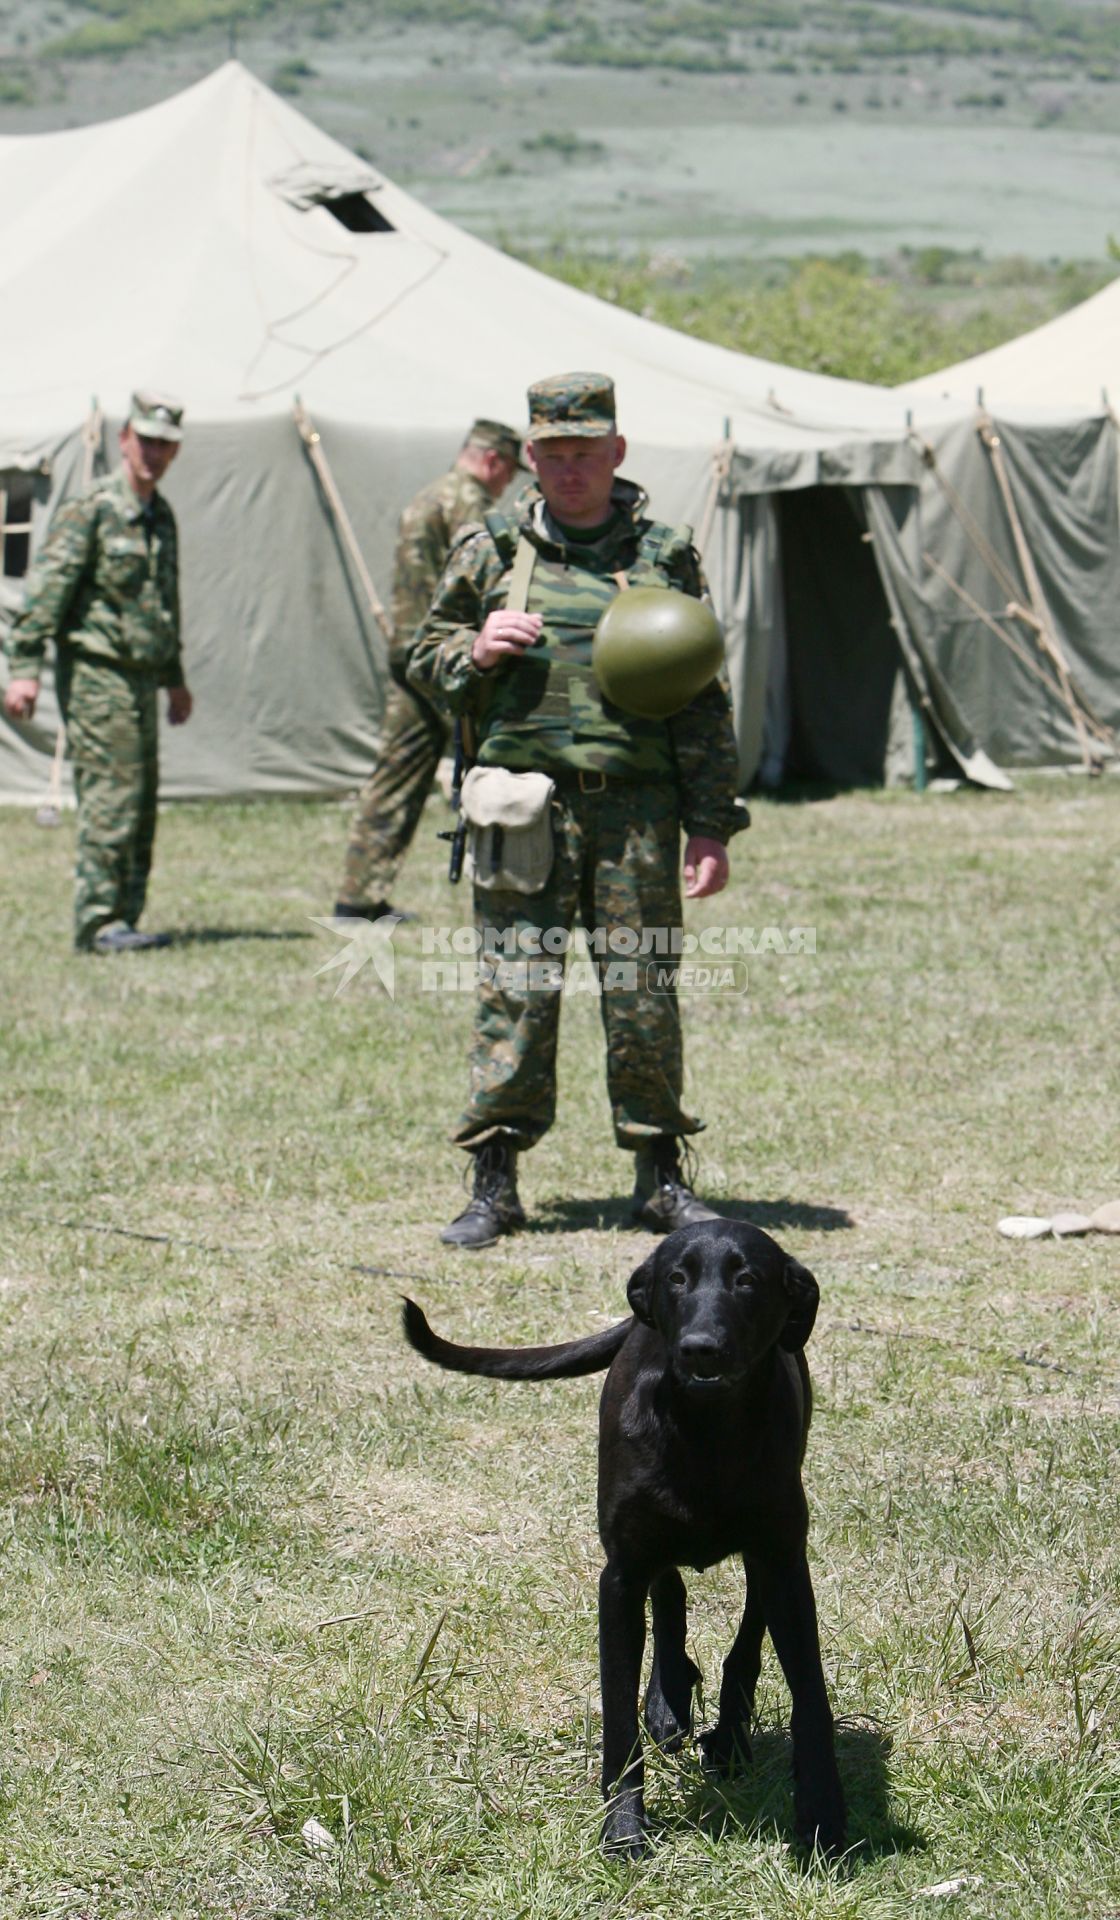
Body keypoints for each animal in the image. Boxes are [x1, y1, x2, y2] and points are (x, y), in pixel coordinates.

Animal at [399, 1213, 845, 1858]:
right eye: (677, 1279)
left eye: (748, 1280)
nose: (700, 1347)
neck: (706, 1431)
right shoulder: (621, 1576)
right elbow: (617, 1714)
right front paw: (625, 1826)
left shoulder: (783, 1562)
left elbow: (808, 1695)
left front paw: (822, 1818)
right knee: (671, 1596)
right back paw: (667, 1700)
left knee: (739, 1642)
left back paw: (726, 1735)